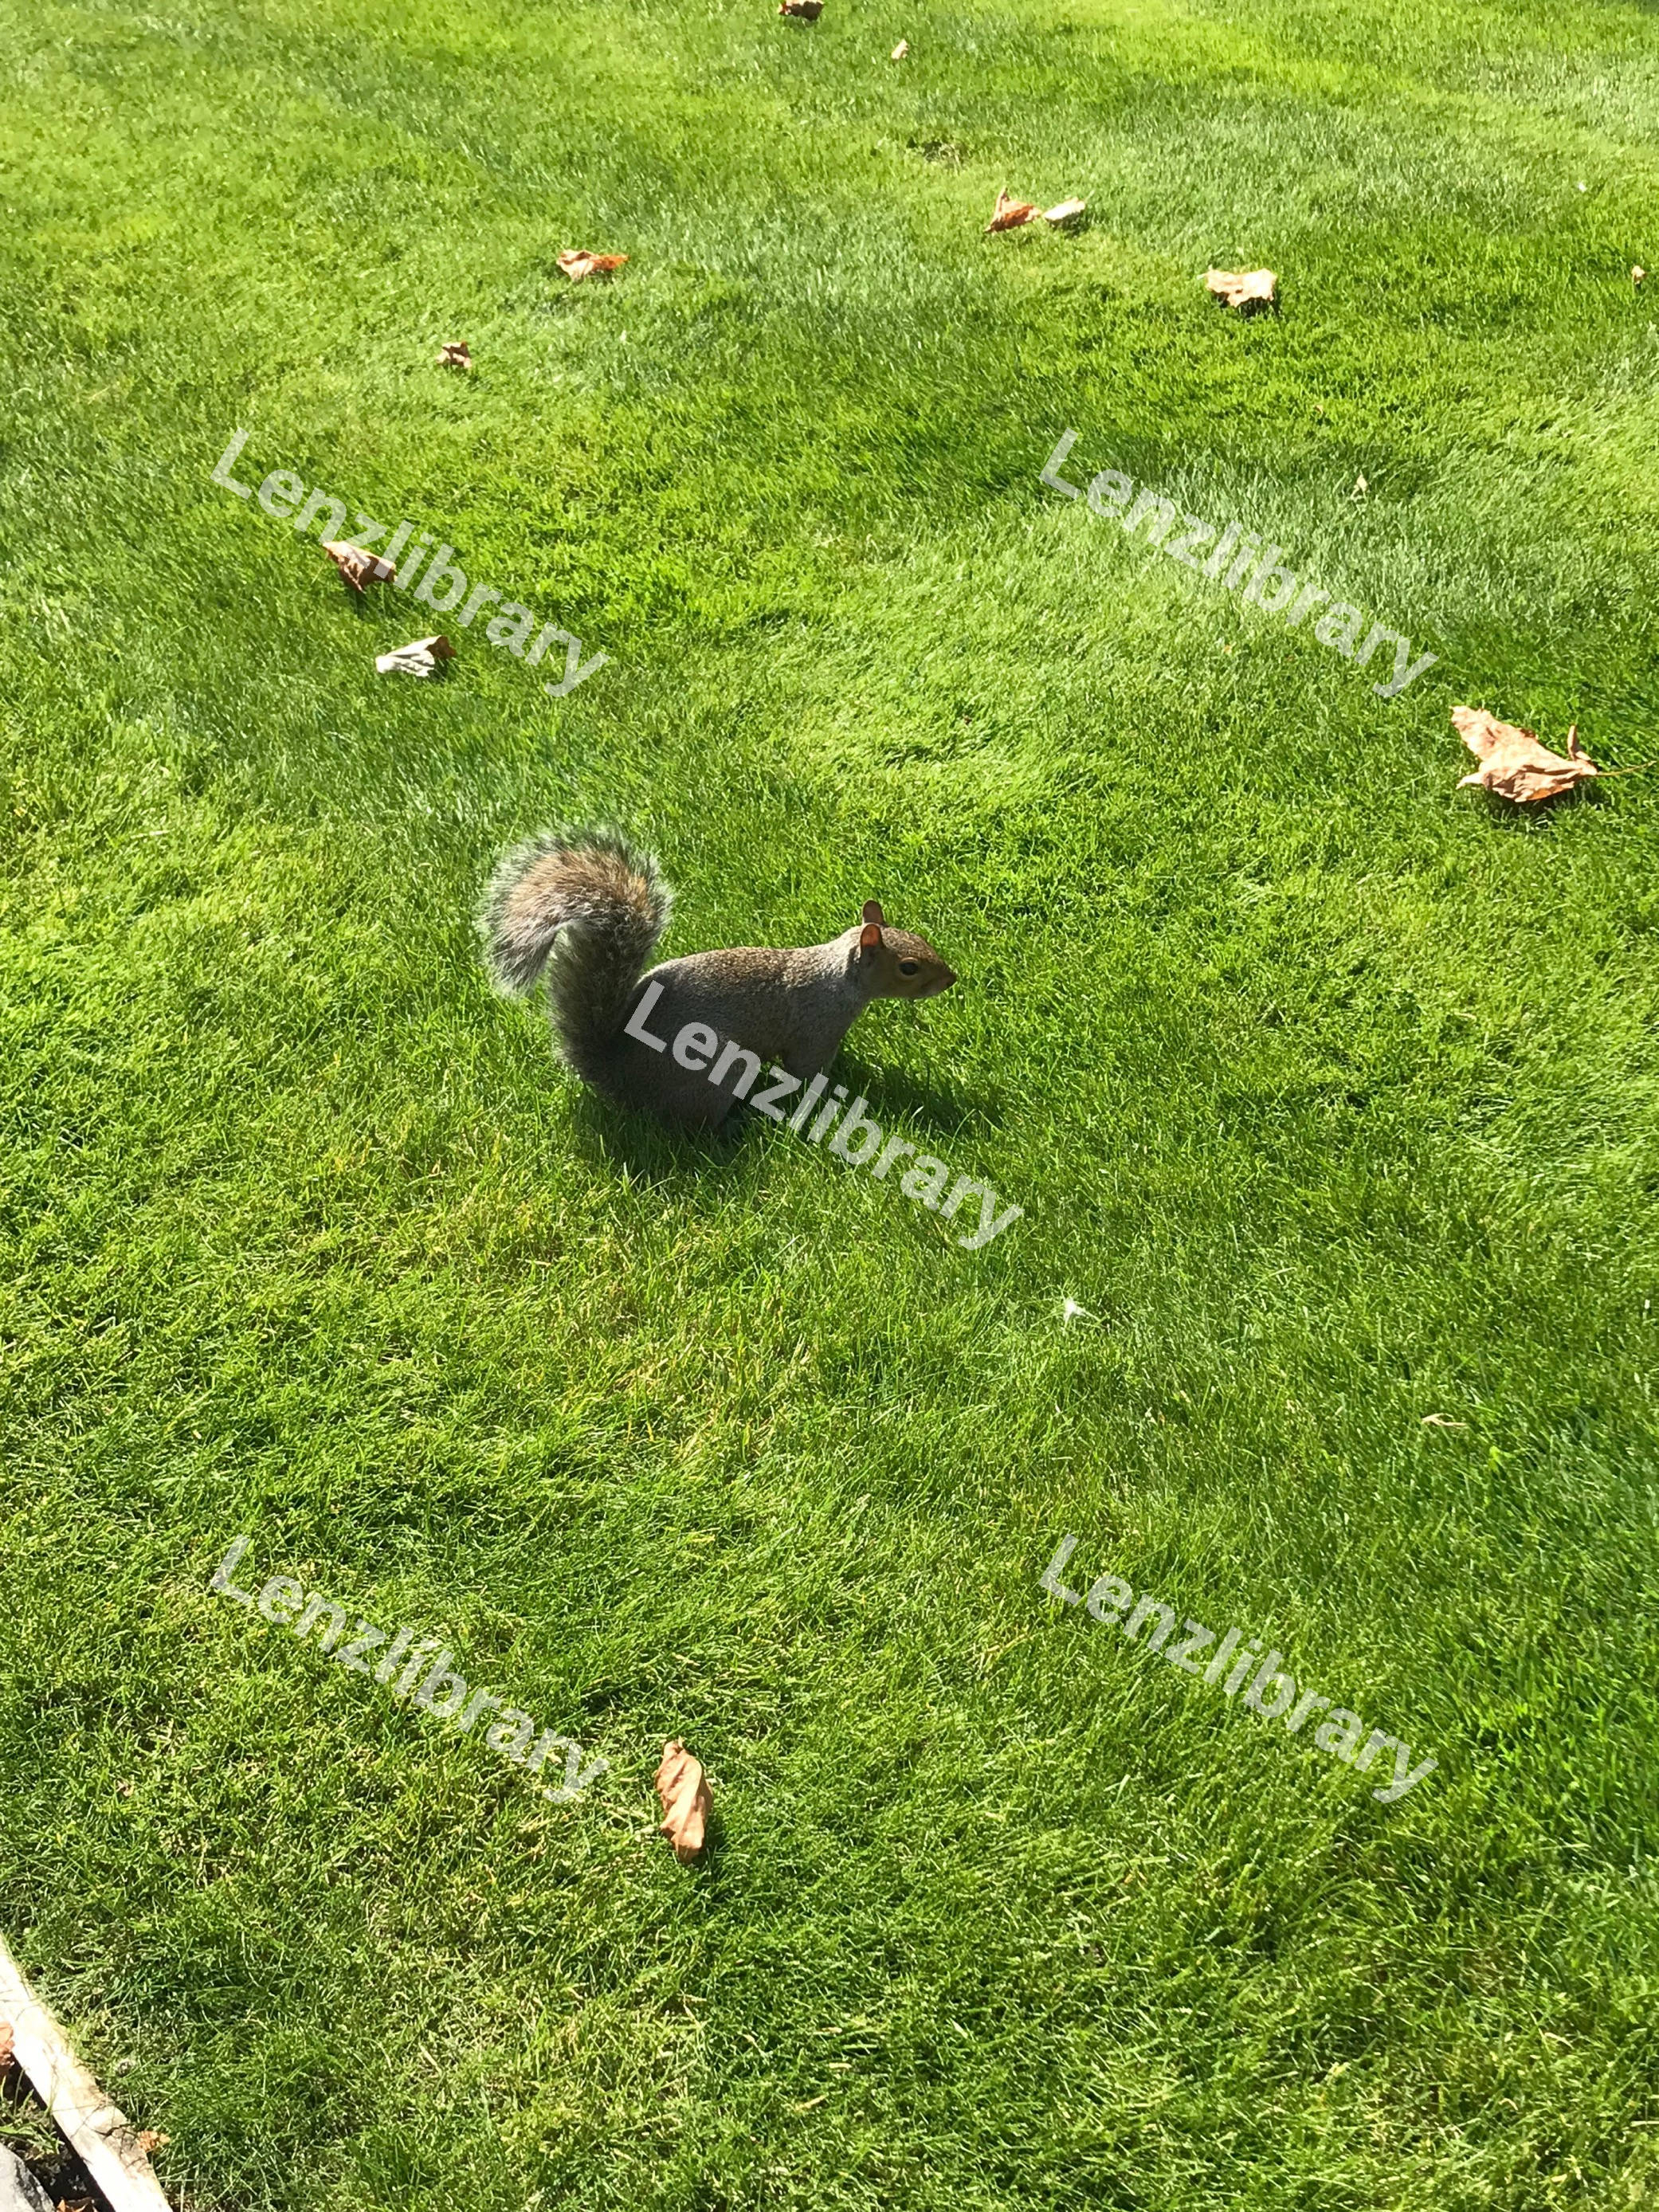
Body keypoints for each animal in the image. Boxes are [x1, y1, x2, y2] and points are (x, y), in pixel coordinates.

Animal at [478, 827, 957, 1126]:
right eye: (909, 967)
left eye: (919, 937)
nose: (951, 980)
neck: (838, 977)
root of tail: (618, 1078)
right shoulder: (815, 1029)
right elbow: (806, 1070)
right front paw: (828, 1090)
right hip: (714, 1077)